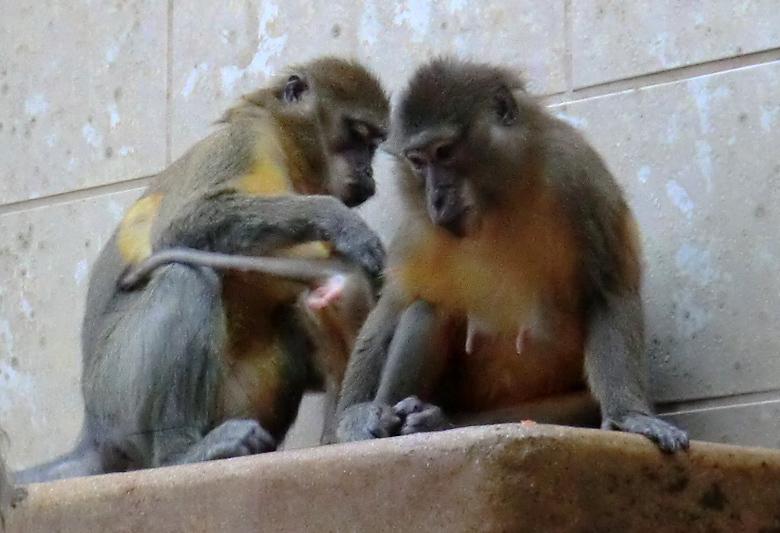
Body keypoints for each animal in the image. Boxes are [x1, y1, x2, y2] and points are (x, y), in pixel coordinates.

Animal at [16, 57, 396, 482]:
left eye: (374, 145)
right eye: (358, 137)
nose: (368, 171)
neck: (285, 150)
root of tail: (93, 432)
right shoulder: (242, 143)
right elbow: (177, 229)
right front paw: (338, 222)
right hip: (117, 400)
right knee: (185, 276)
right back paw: (183, 454)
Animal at [336, 58, 688, 450]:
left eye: (444, 152)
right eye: (418, 162)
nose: (437, 198)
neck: (499, 199)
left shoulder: (576, 174)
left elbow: (607, 288)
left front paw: (629, 415)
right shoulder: (420, 222)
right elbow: (394, 304)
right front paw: (354, 417)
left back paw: (436, 421)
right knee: (427, 311)